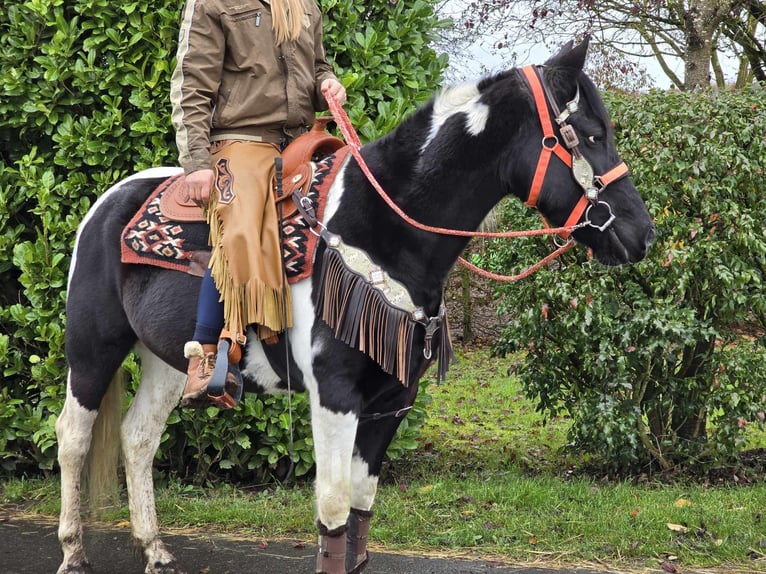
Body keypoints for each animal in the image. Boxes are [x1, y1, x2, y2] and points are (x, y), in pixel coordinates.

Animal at [55, 40, 656, 574]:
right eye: (591, 135)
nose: (641, 234)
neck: (381, 229)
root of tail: (107, 204)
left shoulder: (392, 401)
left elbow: (362, 507)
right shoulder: (335, 397)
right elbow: (334, 508)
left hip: (167, 361)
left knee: (138, 439)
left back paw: (155, 550)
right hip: (92, 350)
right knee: (73, 437)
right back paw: (73, 552)